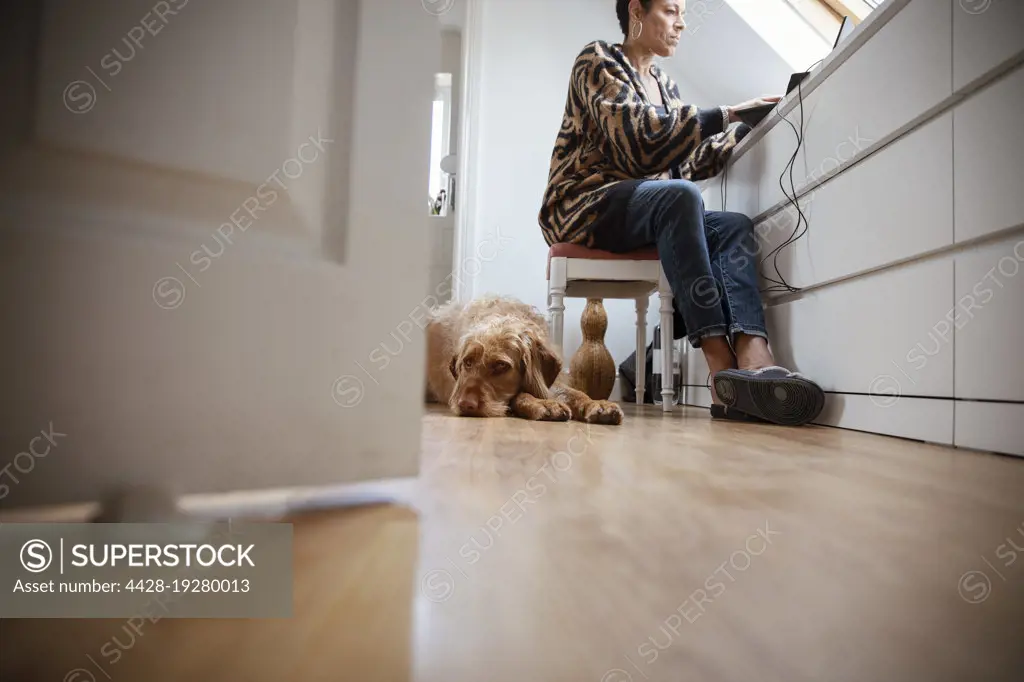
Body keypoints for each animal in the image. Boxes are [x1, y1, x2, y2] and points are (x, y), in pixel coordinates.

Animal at [423, 294, 622, 421]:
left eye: (501, 365)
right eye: (467, 362)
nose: (465, 404)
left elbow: (575, 393)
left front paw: (596, 403)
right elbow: (520, 394)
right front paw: (544, 404)